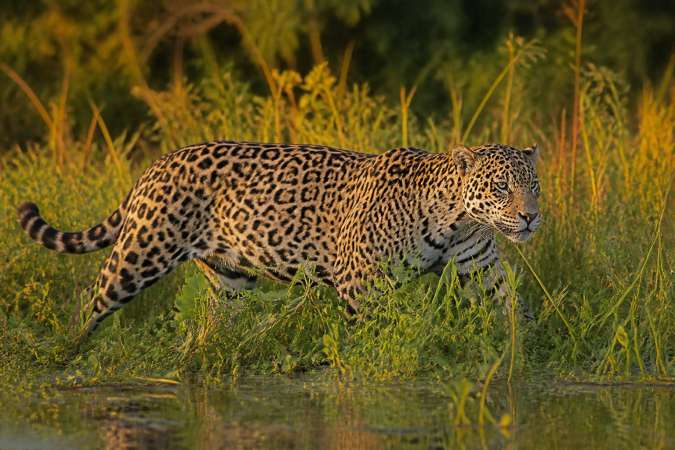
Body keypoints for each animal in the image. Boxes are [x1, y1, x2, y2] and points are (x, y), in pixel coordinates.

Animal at [17, 141, 541, 341]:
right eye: (501, 188)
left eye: (533, 184)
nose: (531, 217)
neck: (456, 218)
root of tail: (159, 162)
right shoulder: (360, 281)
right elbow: (374, 334)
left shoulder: (480, 267)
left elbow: (511, 306)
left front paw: (525, 349)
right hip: (141, 253)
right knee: (92, 301)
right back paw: (67, 355)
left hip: (230, 278)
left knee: (213, 325)